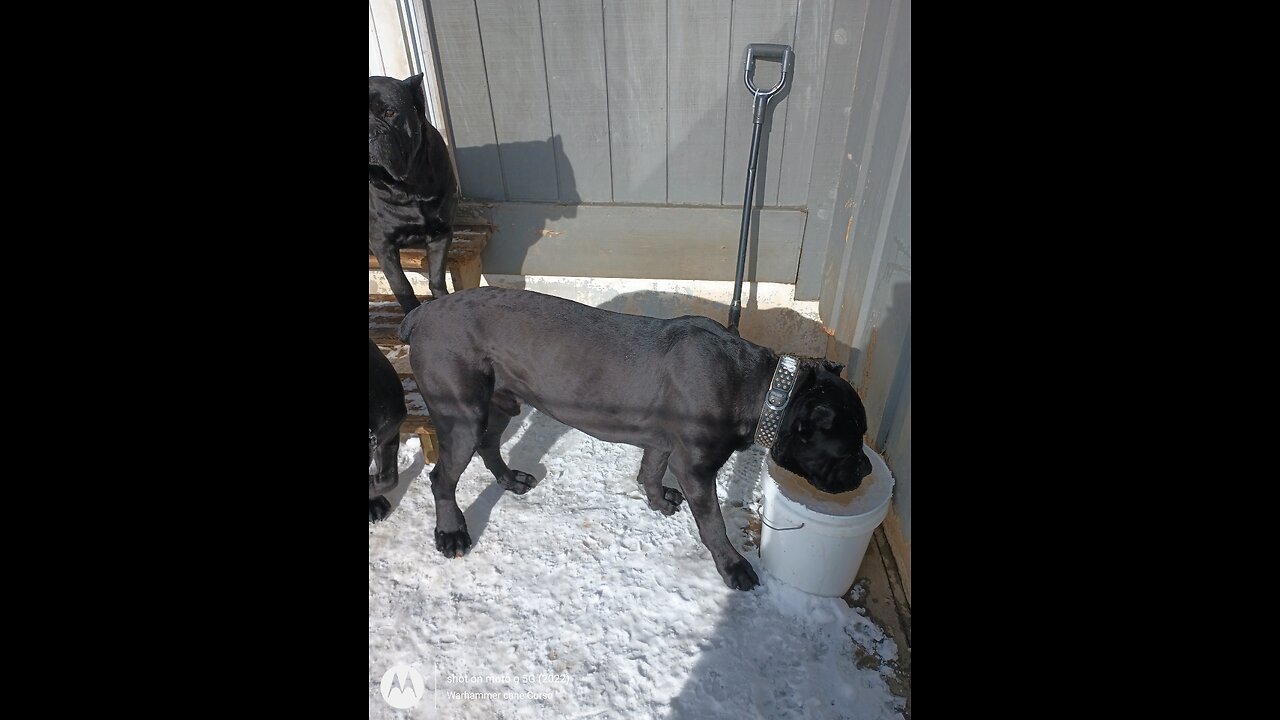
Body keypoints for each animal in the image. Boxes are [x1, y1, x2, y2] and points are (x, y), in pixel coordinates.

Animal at [368, 73, 458, 311]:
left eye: (390, 112)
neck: (409, 188)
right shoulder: (381, 242)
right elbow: (400, 284)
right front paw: (411, 311)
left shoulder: (440, 232)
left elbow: (437, 276)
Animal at [401, 285, 880, 589]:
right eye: (850, 442)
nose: (866, 468)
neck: (764, 390)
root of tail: (422, 313)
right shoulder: (696, 465)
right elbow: (712, 524)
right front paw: (732, 567)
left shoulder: (664, 442)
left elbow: (650, 469)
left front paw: (658, 500)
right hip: (461, 413)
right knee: (441, 478)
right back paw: (451, 533)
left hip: (501, 400)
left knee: (488, 444)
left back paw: (509, 479)